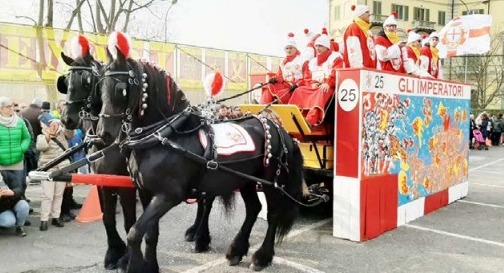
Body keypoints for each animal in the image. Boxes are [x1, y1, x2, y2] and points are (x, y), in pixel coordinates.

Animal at [97, 45, 306, 270]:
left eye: (120, 88)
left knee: (272, 214)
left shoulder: (168, 195)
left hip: (270, 182)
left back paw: (261, 257)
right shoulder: (146, 192)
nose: (103, 133)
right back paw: (236, 250)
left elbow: (135, 233)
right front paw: (151, 266)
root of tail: (279, 128)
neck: (166, 136)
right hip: (246, 180)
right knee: (253, 209)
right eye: (100, 87)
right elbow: (150, 234)